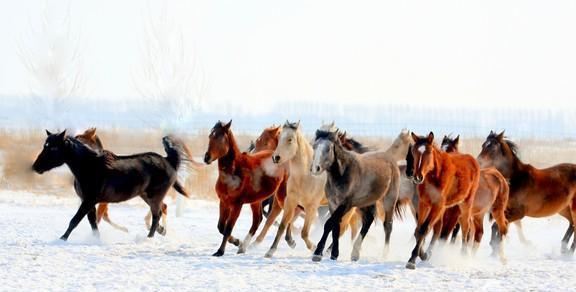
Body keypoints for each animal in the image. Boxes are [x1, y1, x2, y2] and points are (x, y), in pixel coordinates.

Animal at [32, 130, 190, 240]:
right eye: (45, 146)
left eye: (53, 148)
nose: (35, 167)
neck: (89, 167)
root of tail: (168, 161)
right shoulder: (88, 201)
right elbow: (93, 223)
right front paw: (96, 240)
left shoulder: (89, 201)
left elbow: (75, 221)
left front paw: (62, 239)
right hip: (146, 195)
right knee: (161, 210)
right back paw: (161, 231)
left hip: (154, 196)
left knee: (157, 215)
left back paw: (148, 239)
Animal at [205, 120, 290, 256]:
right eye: (210, 136)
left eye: (220, 138)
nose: (206, 157)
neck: (234, 171)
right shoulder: (223, 202)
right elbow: (221, 227)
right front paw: (237, 242)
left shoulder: (237, 205)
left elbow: (228, 228)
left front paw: (220, 251)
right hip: (257, 201)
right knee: (258, 220)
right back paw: (243, 247)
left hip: (283, 194)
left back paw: (290, 241)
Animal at [264, 121, 326, 258]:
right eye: (279, 138)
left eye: (290, 139)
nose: (276, 158)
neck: (306, 176)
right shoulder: (290, 202)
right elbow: (282, 226)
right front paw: (270, 251)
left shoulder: (311, 207)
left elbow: (304, 232)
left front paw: (314, 248)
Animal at [310, 129, 400, 262]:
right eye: (314, 146)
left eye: (328, 148)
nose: (315, 168)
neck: (342, 173)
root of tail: (391, 160)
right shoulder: (333, 204)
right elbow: (336, 226)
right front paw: (334, 254)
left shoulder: (345, 204)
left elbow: (329, 224)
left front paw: (318, 253)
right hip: (365, 203)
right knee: (368, 220)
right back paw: (355, 254)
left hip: (389, 200)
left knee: (387, 225)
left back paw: (384, 255)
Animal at [404, 132, 482, 270]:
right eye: (414, 152)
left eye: (429, 152)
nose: (417, 177)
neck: (434, 175)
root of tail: (473, 161)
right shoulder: (424, 204)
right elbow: (419, 230)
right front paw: (422, 255)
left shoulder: (437, 205)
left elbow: (425, 229)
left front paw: (413, 259)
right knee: (439, 228)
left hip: (464, 204)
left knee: (465, 226)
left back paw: (463, 255)